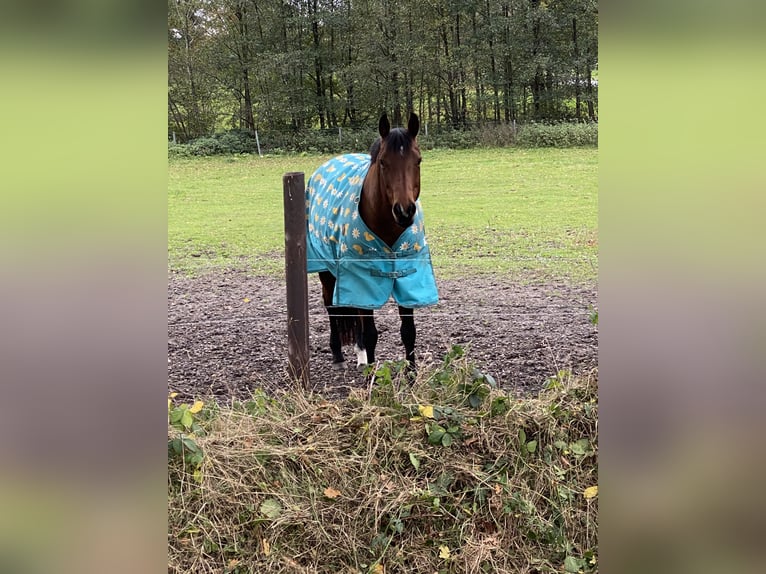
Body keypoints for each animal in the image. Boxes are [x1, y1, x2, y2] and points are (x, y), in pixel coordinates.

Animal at [305, 112, 438, 371]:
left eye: (418, 161)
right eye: (384, 162)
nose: (404, 211)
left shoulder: (408, 276)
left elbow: (408, 332)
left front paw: (411, 374)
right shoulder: (361, 277)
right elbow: (371, 334)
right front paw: (372, 378)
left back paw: (360, 354)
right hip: (325, 267)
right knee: (331, 306)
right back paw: (338, 354)